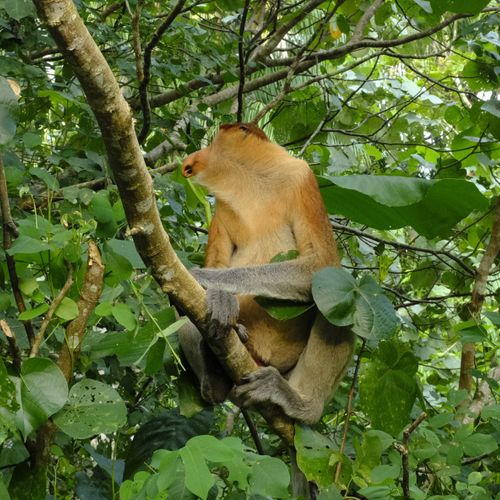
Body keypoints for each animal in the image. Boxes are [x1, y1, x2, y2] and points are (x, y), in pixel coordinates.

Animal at [178, 123, 354, 424]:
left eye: (212, 143)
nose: (190, 160)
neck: (252, 181)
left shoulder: (301, 179)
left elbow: (321, 266)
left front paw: (208, 281)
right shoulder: (222, 208)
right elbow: (218, 262)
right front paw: (220, 297)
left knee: (336, 305)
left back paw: (300, 403)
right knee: (184, 313)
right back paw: (215, 374)